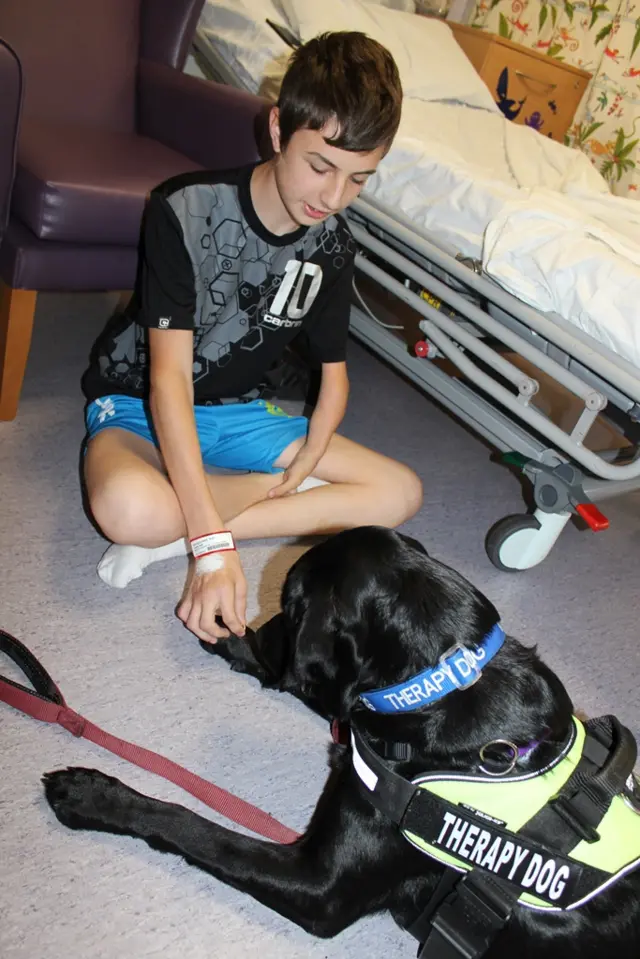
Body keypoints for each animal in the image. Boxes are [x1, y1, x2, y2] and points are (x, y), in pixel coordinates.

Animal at [43, 528, 640, 956]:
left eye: (290, 605)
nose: (265, 630)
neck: (441, 683)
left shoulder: (318, 888)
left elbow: (195, 827)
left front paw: (94, 795)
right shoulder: (353, 714)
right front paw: (228, 634)